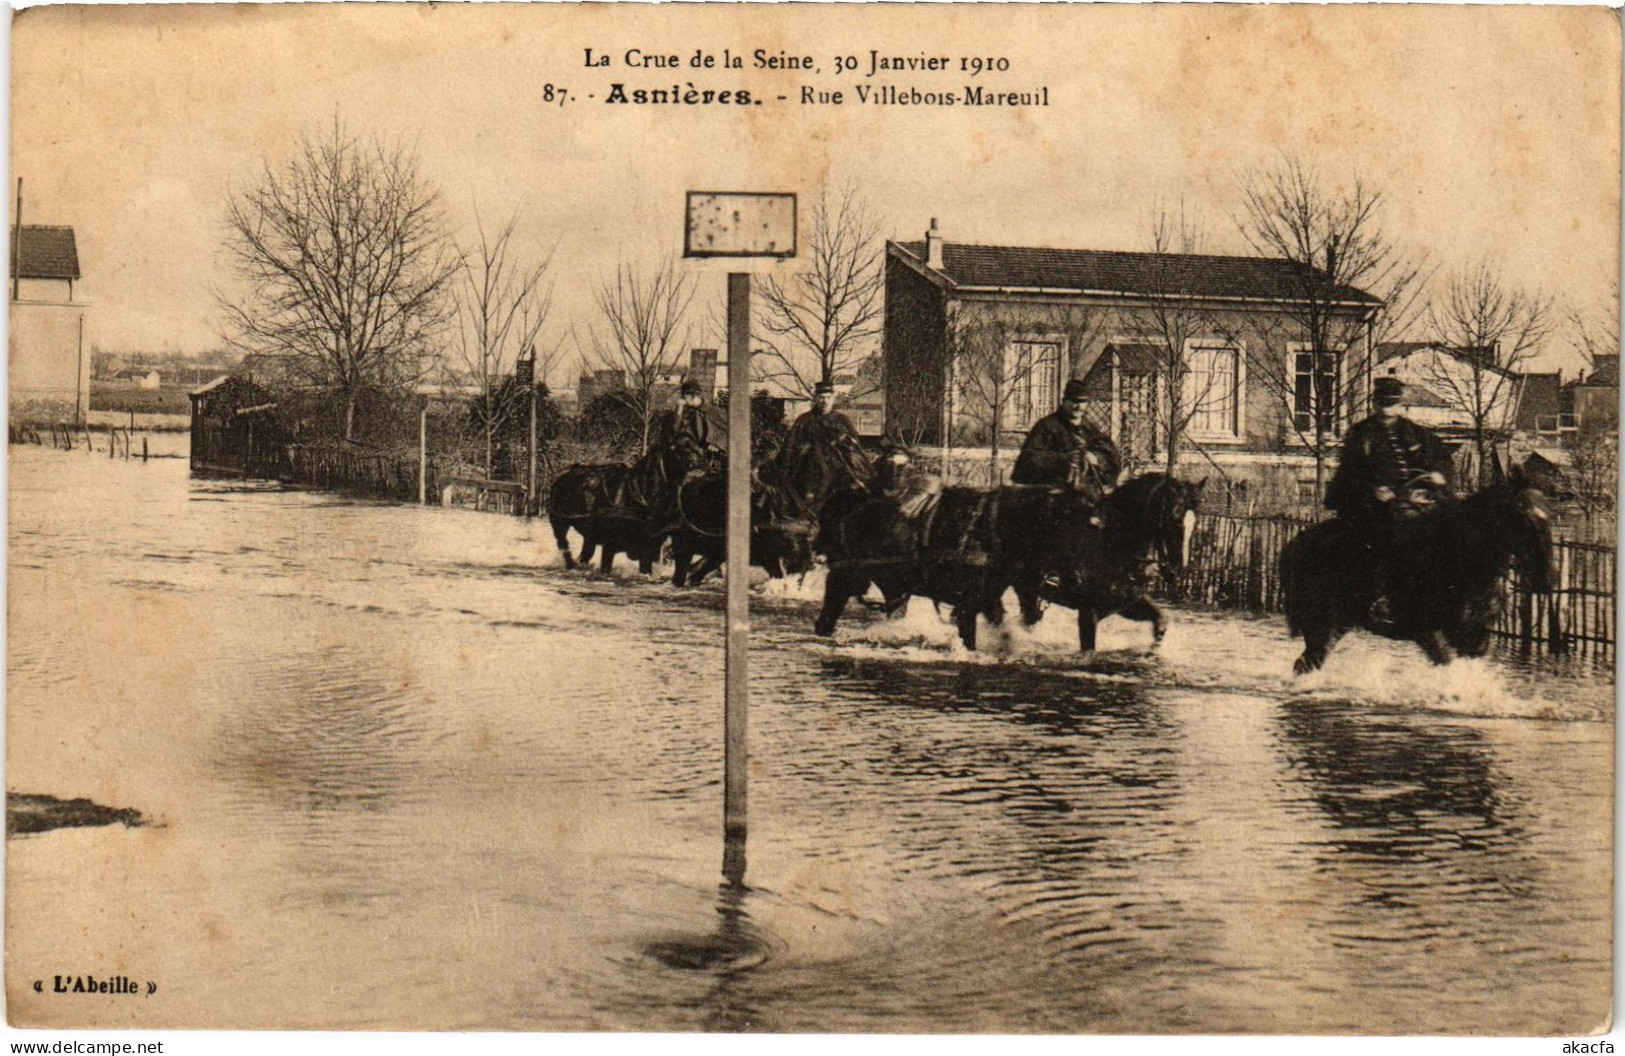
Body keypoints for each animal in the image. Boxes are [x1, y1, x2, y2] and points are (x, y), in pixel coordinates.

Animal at [819, 471, 1202, 653]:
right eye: (1172, 519)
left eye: (1194, 522)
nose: (1174, 571)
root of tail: (853, 500)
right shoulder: (1088, 610)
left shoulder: (1123, 600)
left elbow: (1160, 619)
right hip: (844, 579)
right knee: (826, 619)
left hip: (894, 584)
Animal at [1274, 474, 1553, 669]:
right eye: (1526, 519)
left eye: (1549, 517)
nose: (1546, 578)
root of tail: (1292, 546)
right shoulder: (1426, 632)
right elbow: (1446, 663)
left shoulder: (1475, 636)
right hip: (1318, 621)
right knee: (1306, 662)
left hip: (1338, 623)